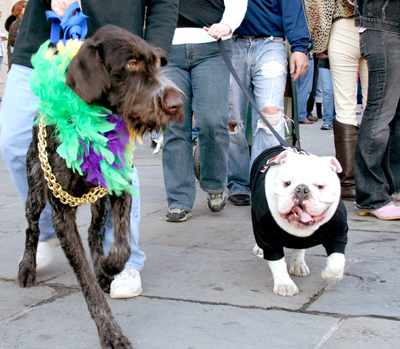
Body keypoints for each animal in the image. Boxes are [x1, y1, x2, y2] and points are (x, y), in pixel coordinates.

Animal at [17, 25, 183, 348]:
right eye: (131, 64)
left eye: (156, 63)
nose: (177, 104)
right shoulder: (61, 213)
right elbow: (86, 284)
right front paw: (110, 332)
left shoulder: (120, 188)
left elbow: (122, 243)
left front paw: (109, 266)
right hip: (35, 189)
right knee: (32, 227)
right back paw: (28, 267)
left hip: (100, 203)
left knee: (95, 233)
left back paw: (102, 267)